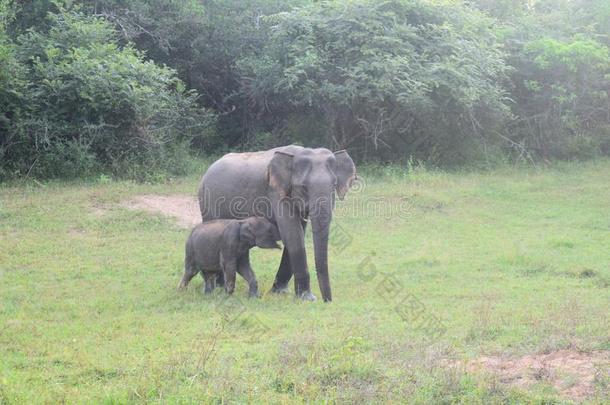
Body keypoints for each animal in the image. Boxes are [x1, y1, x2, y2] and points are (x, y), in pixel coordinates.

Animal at [195, 145, 356, 300]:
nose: (327, 301)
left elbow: (297, 233)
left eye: (334, 185)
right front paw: (307, 298)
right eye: (304, 187)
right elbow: (293, 234)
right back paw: (218, 287)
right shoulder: (275, 191)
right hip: (207, 199)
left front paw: (280, 291)